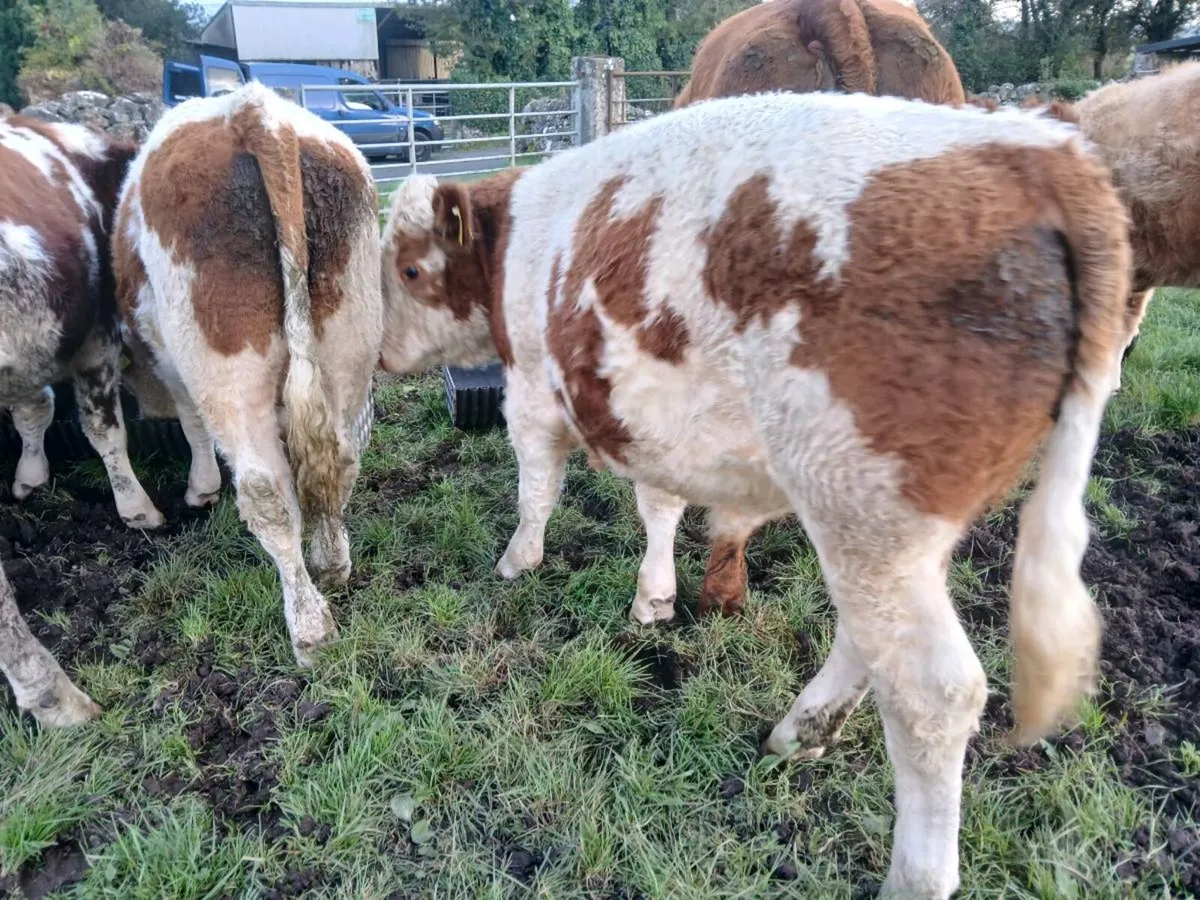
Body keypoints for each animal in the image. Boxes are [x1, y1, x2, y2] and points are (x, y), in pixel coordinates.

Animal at [1, 116, 166, 726]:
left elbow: (36, 408)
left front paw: (29, 476)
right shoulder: (97, 333)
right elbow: (103, 429)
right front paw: (138, 508)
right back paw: (54, 694)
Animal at [113, 82, 382, 667]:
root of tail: (256, 114)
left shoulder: (174, 368)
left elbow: (192, 425)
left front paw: (201, 490)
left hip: (225, 369)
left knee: (266, 492)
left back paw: (310, 629)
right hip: (350, 343)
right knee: (339, 461)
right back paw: (333, 563)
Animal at [379, 92, 1135, 897]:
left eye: (411, 269)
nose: (382, 352)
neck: (517, 236)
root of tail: (1043, 153)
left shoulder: (529, 389)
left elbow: (536, 491)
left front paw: (518, 562)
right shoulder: (652, 418)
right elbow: (660, 507)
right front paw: (655, 596)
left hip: (866, 511)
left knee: (933, 693)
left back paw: (912, 874)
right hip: (897, 532)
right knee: (869, 641)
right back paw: (802, 731)